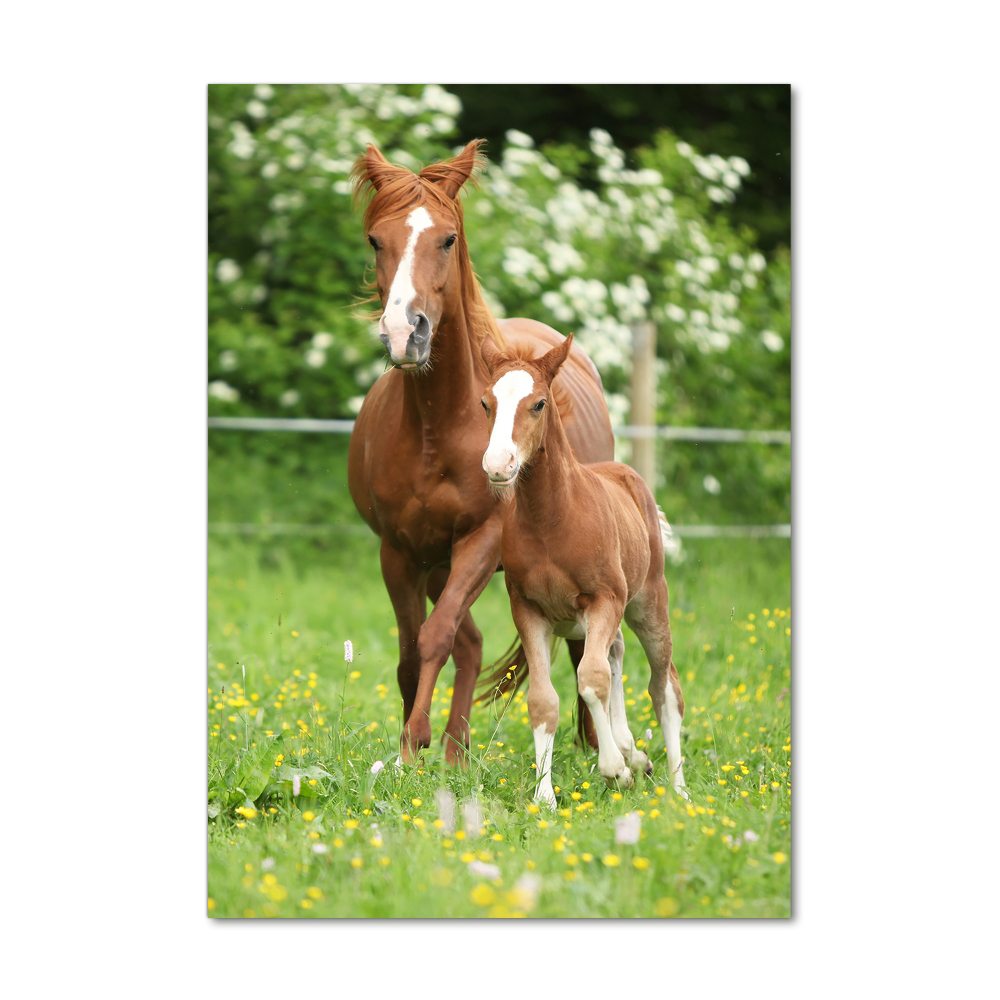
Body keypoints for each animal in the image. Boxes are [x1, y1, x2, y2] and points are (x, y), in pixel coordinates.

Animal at [348, 143, 612, 764]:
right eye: (376, 240)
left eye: (448, 239)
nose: (405, 333)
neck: (437, 428)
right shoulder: (399, 552)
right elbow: (410, 652)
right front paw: (413, 752)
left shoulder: (481, 540)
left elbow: (434, 637)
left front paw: (414, 741)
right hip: (436, 565)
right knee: (469, 643)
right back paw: (455, 750)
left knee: (567, 646)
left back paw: (591, 748)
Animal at [478, 330, 688, 804]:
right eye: (485, 403)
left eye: (538, 403)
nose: (498, 466)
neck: (551, 519)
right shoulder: (528, 610)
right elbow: (543, 700)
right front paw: (545, 798)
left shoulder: (604, 599)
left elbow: (590, 679)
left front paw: (615, 771)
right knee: (616, 655)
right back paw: (634, 751)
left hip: (648, 602)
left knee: (664, 687)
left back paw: (679, 788)